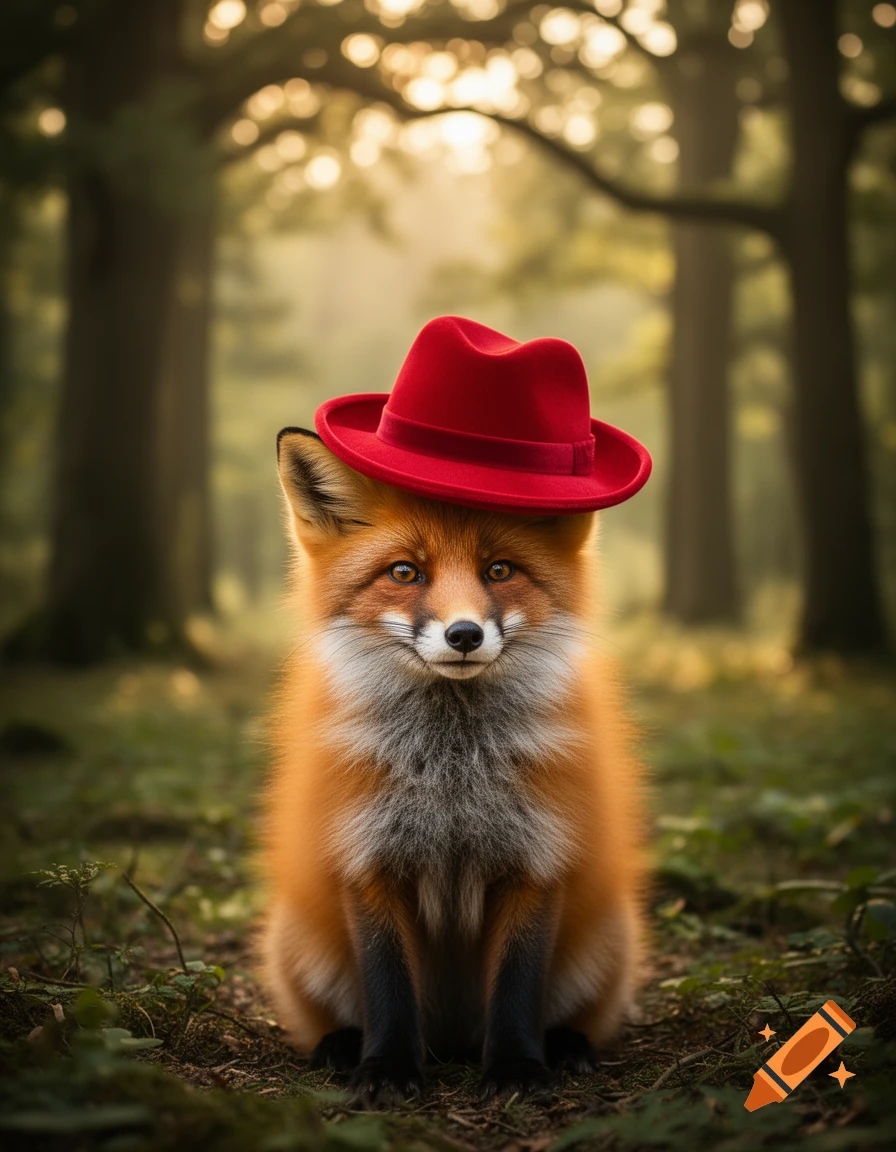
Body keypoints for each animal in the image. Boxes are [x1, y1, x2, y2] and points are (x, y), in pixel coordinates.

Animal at [259, 426, 650, 1105]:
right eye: (405, 572)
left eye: (499, 570)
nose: (464, 634)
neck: (453, 773)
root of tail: (453, 1039)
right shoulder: (366, 860)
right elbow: (388, 988)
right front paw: (386, 1069)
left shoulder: (538, 860)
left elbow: (517, 988)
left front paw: (517, 1069)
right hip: (298, 941)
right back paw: (340, 1045)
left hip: (609, 937)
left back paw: (567, 1045)